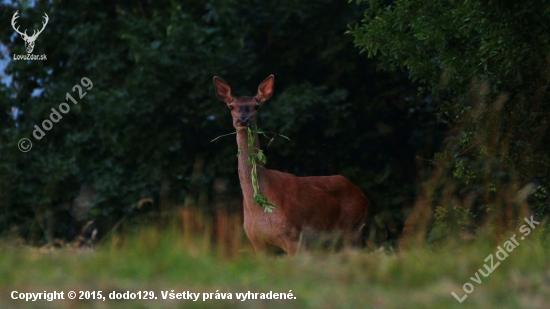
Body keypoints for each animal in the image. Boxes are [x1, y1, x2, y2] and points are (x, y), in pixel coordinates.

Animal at [215, 74, 370, 253]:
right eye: (231, 106)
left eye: (256, 106)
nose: (243, 120)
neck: (260, 205)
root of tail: (363, 196)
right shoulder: (256, 240)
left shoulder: (293, 235)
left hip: (354, 230)